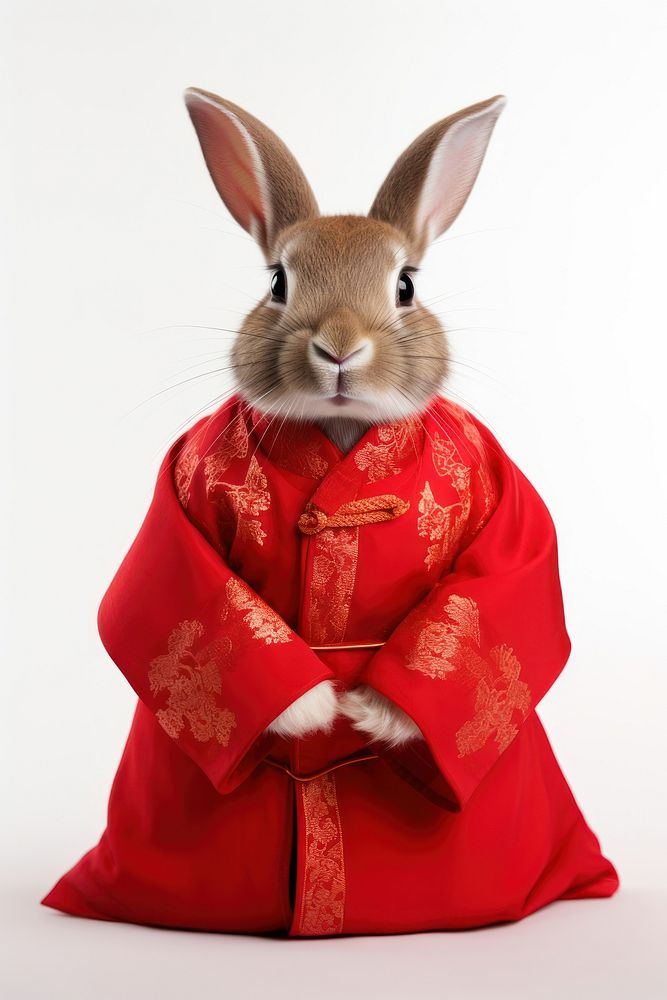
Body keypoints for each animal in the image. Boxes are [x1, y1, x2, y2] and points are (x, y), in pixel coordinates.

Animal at [184, 88, 505, 750]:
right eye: (278, 283)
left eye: (405, 286)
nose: (339, 347)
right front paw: (312, 710)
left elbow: (483, 586)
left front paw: (372, 713)